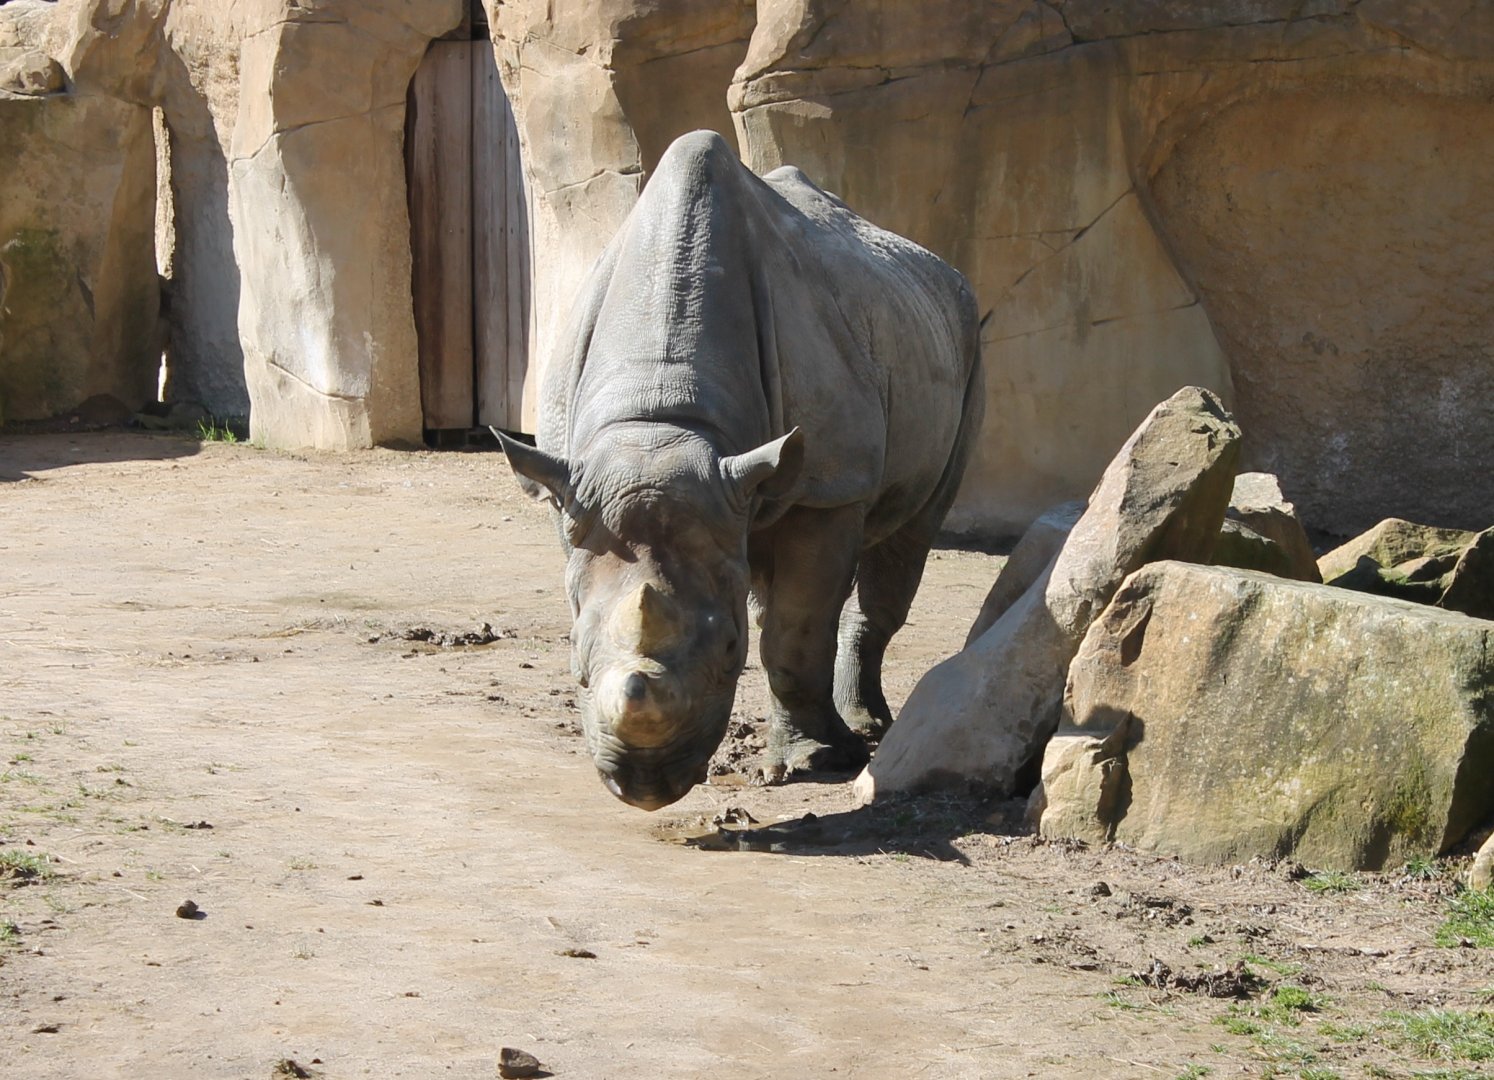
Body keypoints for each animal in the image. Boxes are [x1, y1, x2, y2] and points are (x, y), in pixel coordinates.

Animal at [499, 131, 983, 811]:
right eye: (574, 654)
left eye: (731, 654)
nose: (645, 786)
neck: (661, 417)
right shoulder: (569, 487)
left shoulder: (830, 487)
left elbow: (797, 629)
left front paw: (817, 762)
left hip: (963, 340)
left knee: (912, 528)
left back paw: (869, 728)